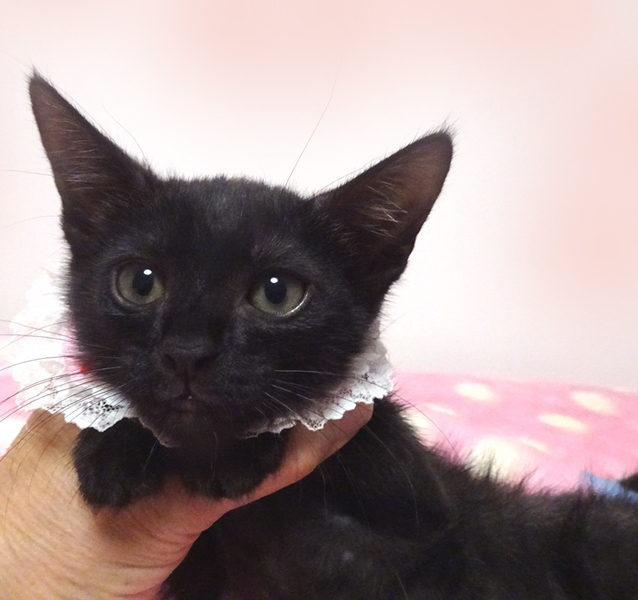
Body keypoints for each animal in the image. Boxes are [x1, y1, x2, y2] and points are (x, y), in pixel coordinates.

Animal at [28, 74, 638, 599]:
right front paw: (116, 445)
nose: (187, 353)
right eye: (140, 282)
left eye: (277, 293)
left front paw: (236, 455)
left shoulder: (431, 534)